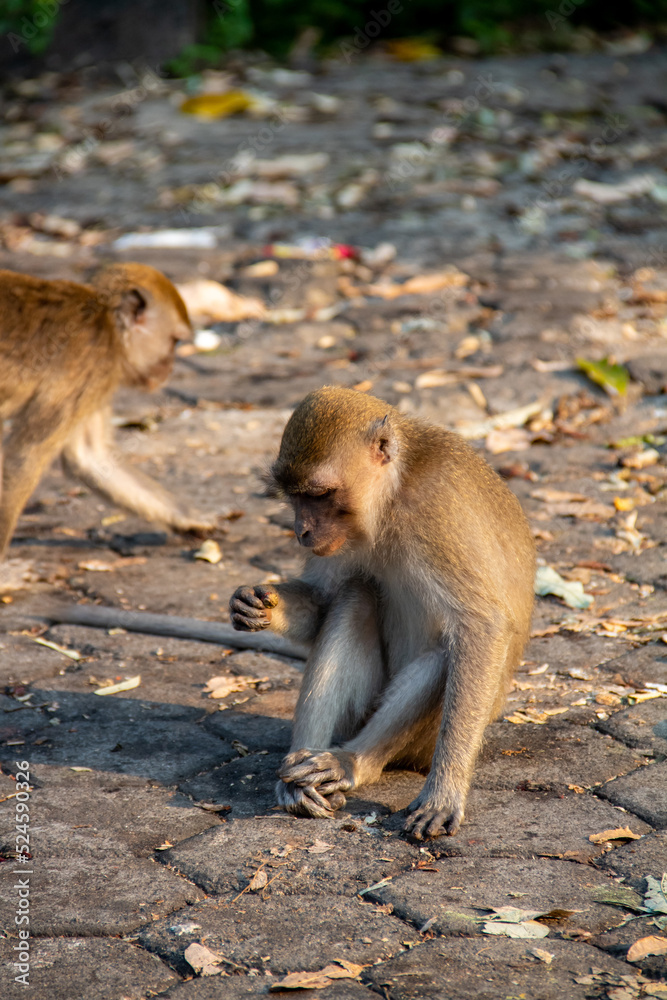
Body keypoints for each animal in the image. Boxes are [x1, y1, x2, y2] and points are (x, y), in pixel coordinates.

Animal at [0, 262, 214, 560]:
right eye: (174, 342)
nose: (170, 368)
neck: (108, 324)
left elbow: (90, 457)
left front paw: (188, 519)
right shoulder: (94, 362)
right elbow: (23, 458)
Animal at [232, 386, 536, 840]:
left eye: (319, 495)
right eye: (295, 498)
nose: (301, 531)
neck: (393, 495)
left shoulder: (436, 509)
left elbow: (482, 626)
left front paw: (444, 793)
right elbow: (325, 599)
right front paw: (259, 605)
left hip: (421, 744)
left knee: (445, 654)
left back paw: (353, 762)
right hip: (358, 712)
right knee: (354, 594)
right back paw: (301, 774)